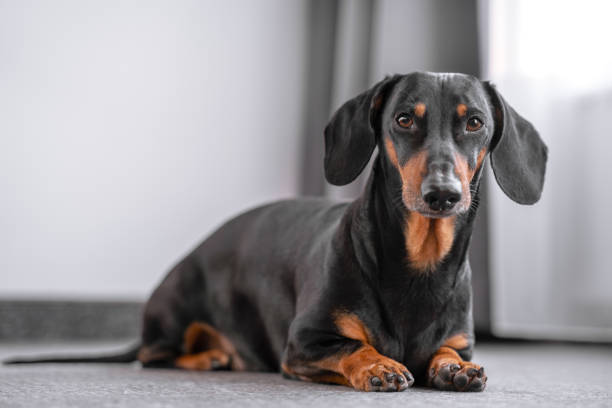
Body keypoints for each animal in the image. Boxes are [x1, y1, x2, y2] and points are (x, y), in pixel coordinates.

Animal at [4, 72, 548, 392]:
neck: (419, 266)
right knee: (154, 356)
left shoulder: (459, 339)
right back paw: (209, 357)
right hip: (176, 311)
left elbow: (446, 351)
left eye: (474, 123)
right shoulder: (304, 343)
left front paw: (454, 369)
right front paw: (379, 365)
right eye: (402, 120)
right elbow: (354, 347)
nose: (443, 195)